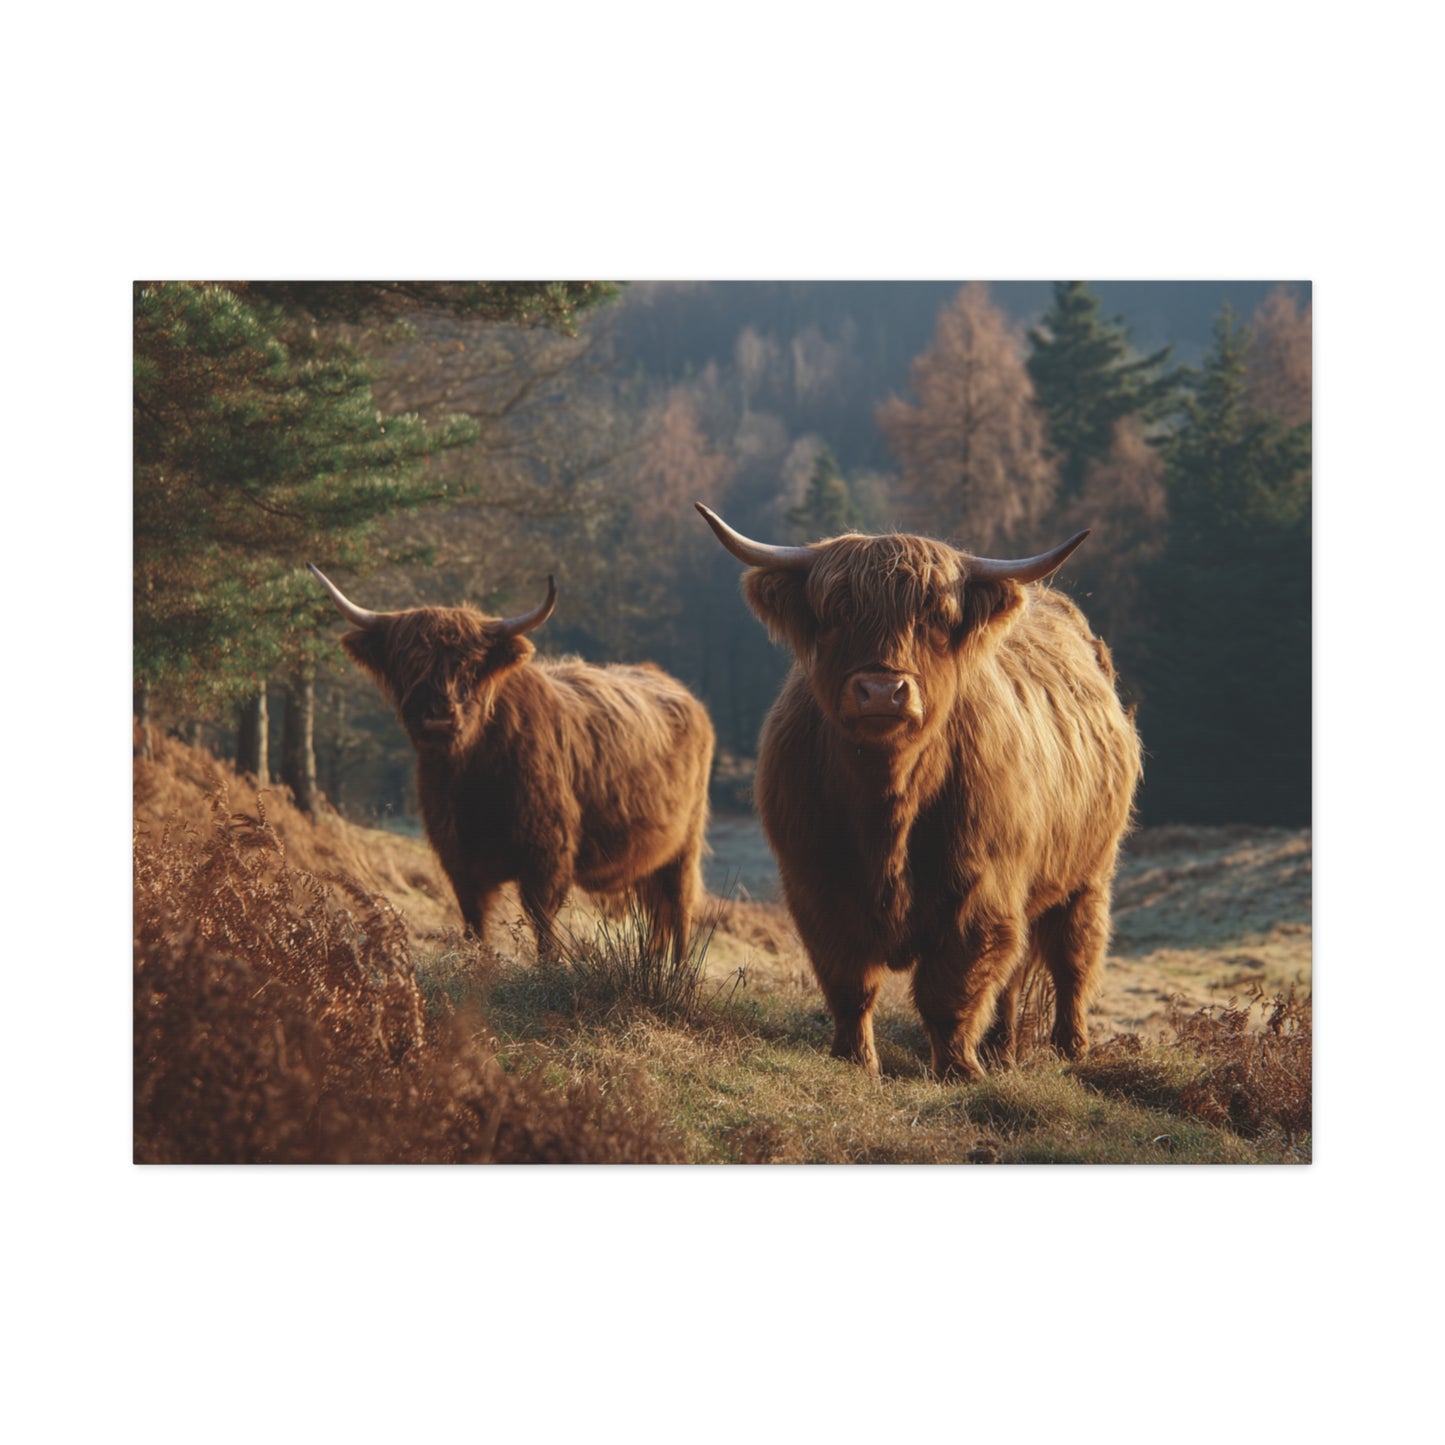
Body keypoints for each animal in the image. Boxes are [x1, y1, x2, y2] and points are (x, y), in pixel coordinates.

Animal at [309, 565, 715, 965]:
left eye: (471, 667)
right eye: (408, 663)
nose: (439, 720)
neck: (471, 779)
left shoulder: (548, 854)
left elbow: (542, 921)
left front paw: (549, 967)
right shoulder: (458, 856)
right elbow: (474, 922)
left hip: (685, 844)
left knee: (680, 909)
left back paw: (677, 973)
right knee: (657, 914)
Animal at [697, 503, 1142, 1082]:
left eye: (934, 617)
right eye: (836, 612)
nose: (882, 691)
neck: (888, 803)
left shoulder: (982, 892)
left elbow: (950, 987)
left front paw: (957, 1069)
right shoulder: (815, 886)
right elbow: (849, 982)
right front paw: (855, 1060)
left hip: (1088, 874)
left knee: (1073, 957)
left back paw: (1070, 1048)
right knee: (1015, 975)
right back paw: (1002, 1049)